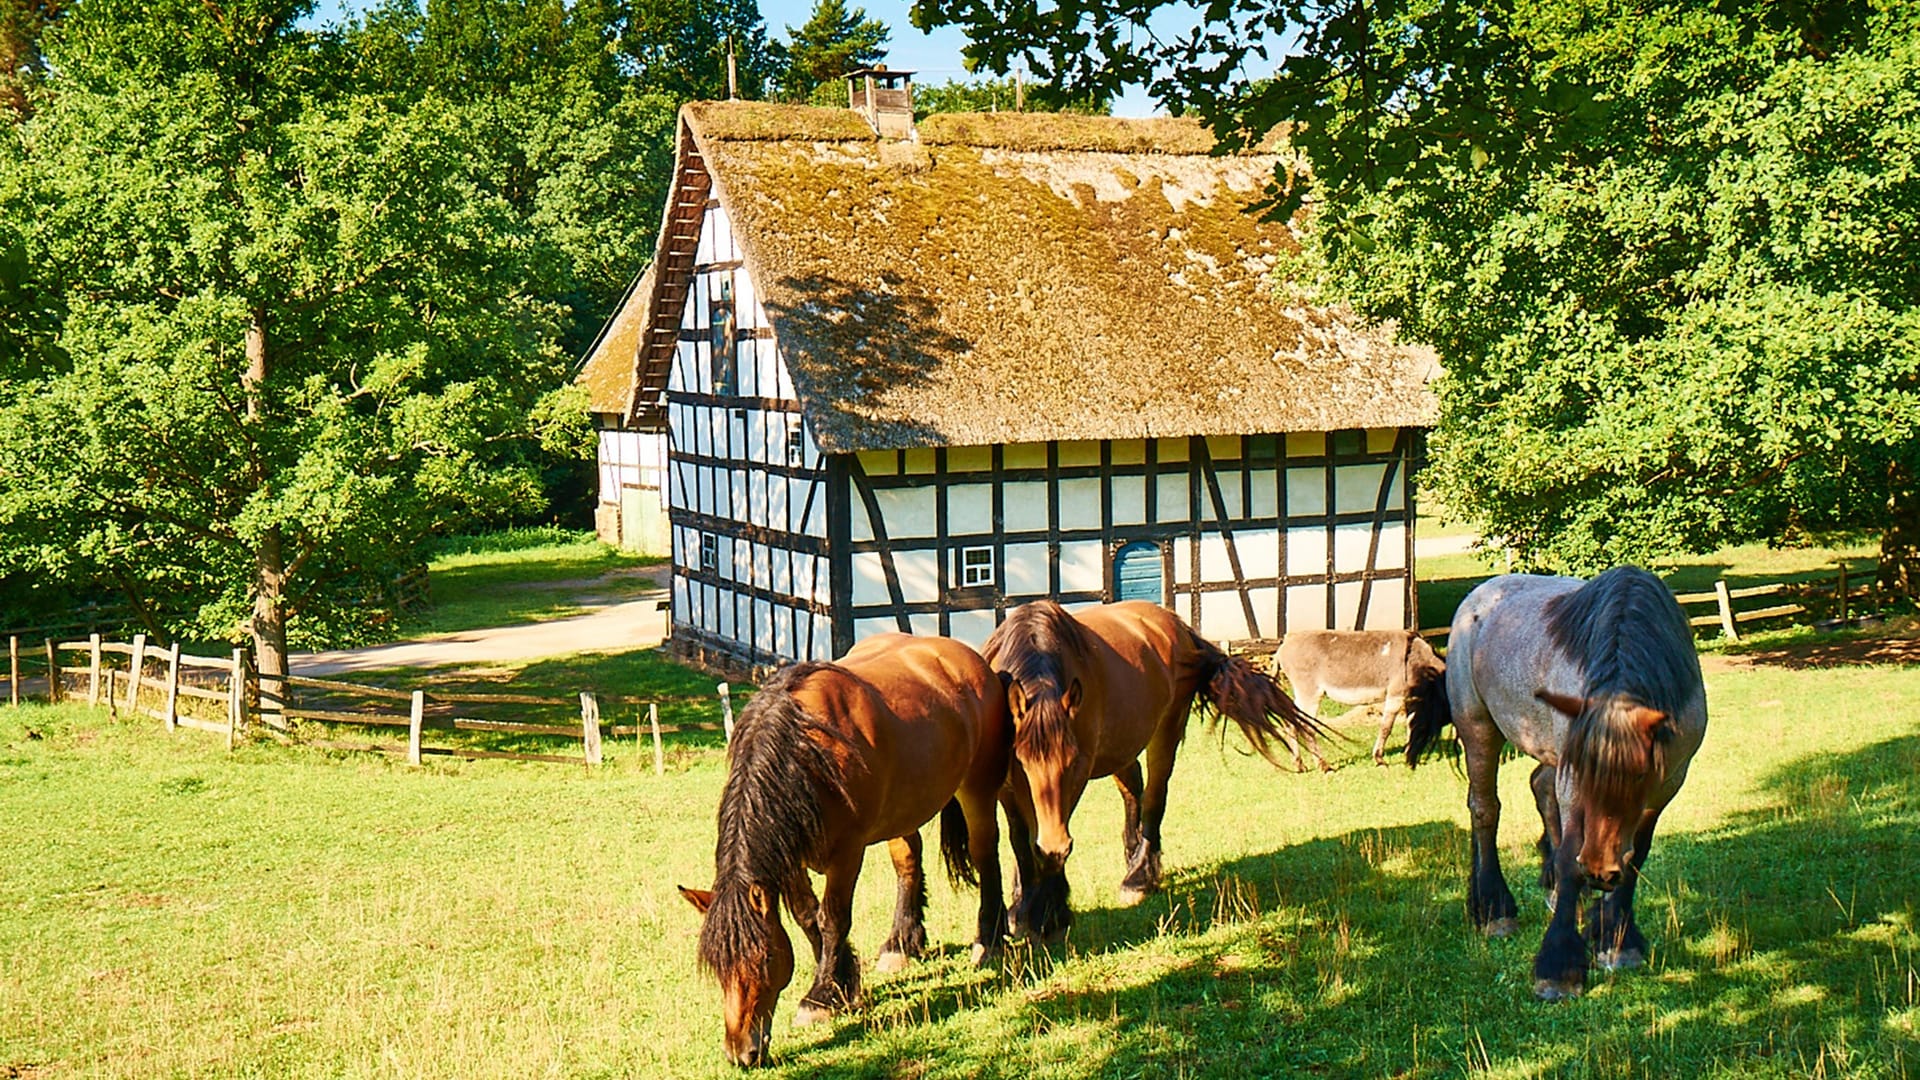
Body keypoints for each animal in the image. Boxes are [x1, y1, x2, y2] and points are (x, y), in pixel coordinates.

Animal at [675, 634, 1013, 1060]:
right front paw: (843, 984)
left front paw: (819, 998)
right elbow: (808, 917)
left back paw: (989, 940)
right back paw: (902, 943)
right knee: (908, 862)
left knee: (986, 853)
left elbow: (833, 917)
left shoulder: (847, 853)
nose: (741, 1052)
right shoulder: (791, 858)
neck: (807, 749)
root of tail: (970, 658)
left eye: (764, 958)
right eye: (718, 967)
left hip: (978, 787)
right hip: (903, 809)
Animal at [983, 595, 1328, 933]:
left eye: (1072, 761)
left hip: (1166, 731)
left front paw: (1050, 911)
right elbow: (1021, 840)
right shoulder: (1007, 785)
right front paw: (1022, 904)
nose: (1055, 845)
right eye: (1022, 762)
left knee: (1153, 798)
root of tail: (1176, 625)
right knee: (1133, 791)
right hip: (1121, 744)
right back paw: (1132, 857)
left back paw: (1139, 876)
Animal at [1413, 568, 1712, 999]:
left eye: (1640, 775)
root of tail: (1480, 595)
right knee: (1484, 810)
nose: (1599, 871)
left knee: (1540, 788)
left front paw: (1616, 940)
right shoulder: (1572, 780)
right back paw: (1493, 908)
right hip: (1479, 727)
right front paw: (1559, 966)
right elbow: (1571, 853)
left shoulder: (1667, 784)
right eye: (1584, 772)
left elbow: (1636, 855)